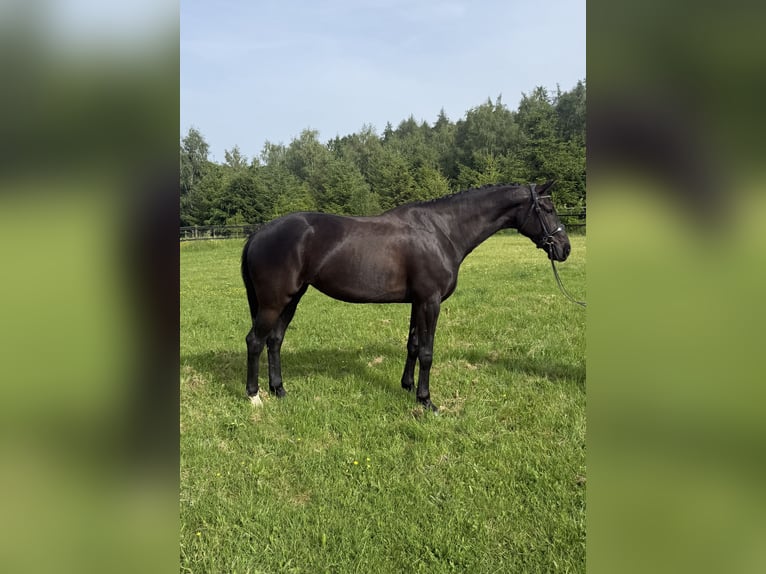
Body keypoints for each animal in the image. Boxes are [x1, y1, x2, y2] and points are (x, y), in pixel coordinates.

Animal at [241, 181, 571, 411]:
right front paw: (426, 400)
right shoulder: (430, 301)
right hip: (274, 302)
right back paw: (255, 396)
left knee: (274, 341)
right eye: (548, 209)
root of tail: (258, 233)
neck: (442, 231)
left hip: (291, 299)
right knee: (255, 341)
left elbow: (412, 345)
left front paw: (408, 387)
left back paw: (280, 390)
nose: (564, 248)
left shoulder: (417, 302)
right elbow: (427, 352)